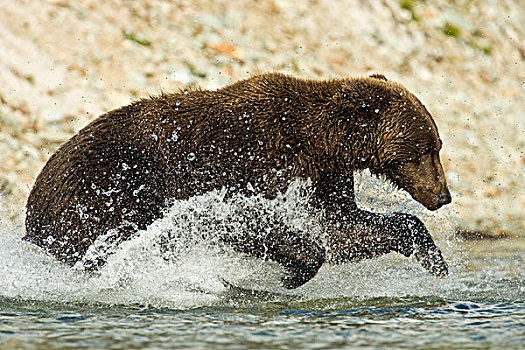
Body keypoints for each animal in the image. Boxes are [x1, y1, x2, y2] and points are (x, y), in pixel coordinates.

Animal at [24, 72, 450, 288]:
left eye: (436, 144)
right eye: (426, 148)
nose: (443, 195)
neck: (319, 142)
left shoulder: (321, 177)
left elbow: (343, 225)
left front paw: (436, 261)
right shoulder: (250, 163)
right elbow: (244, 220)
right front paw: (292, 271)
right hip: (106, 190)